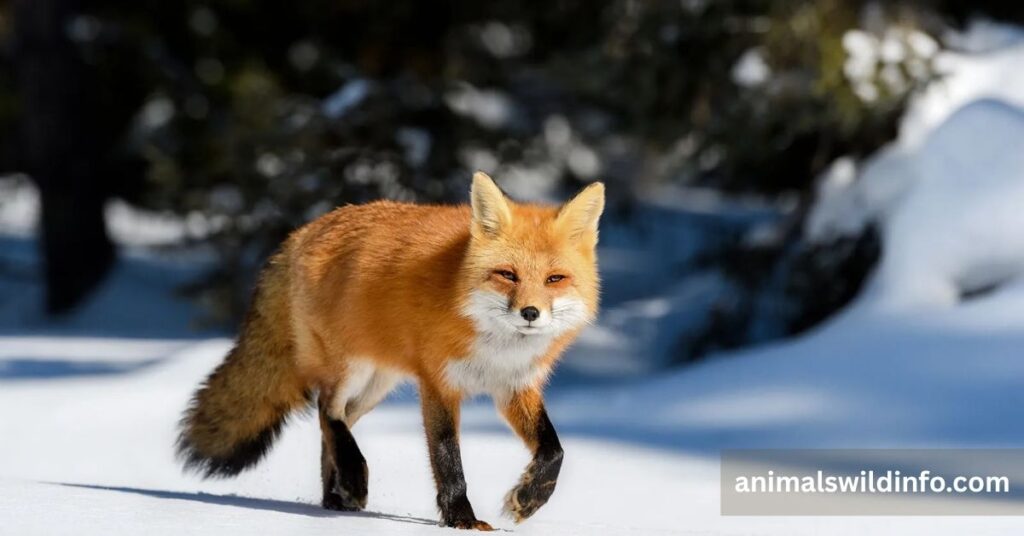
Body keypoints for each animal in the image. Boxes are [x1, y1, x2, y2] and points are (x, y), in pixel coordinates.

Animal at [177, 171, 604, 530]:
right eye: (507, 275)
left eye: (555, 279)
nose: (530, 312)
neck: (495, 347)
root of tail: (305, 230)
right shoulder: (437, 383)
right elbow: (448, 458)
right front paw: (461, 520)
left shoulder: (515, 387)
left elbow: (554, 450)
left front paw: (528, 499)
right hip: (350, 369)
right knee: (326, 410)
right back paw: (352, 478)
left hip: (376, 386)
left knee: (333, 426)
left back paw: (335, 498)